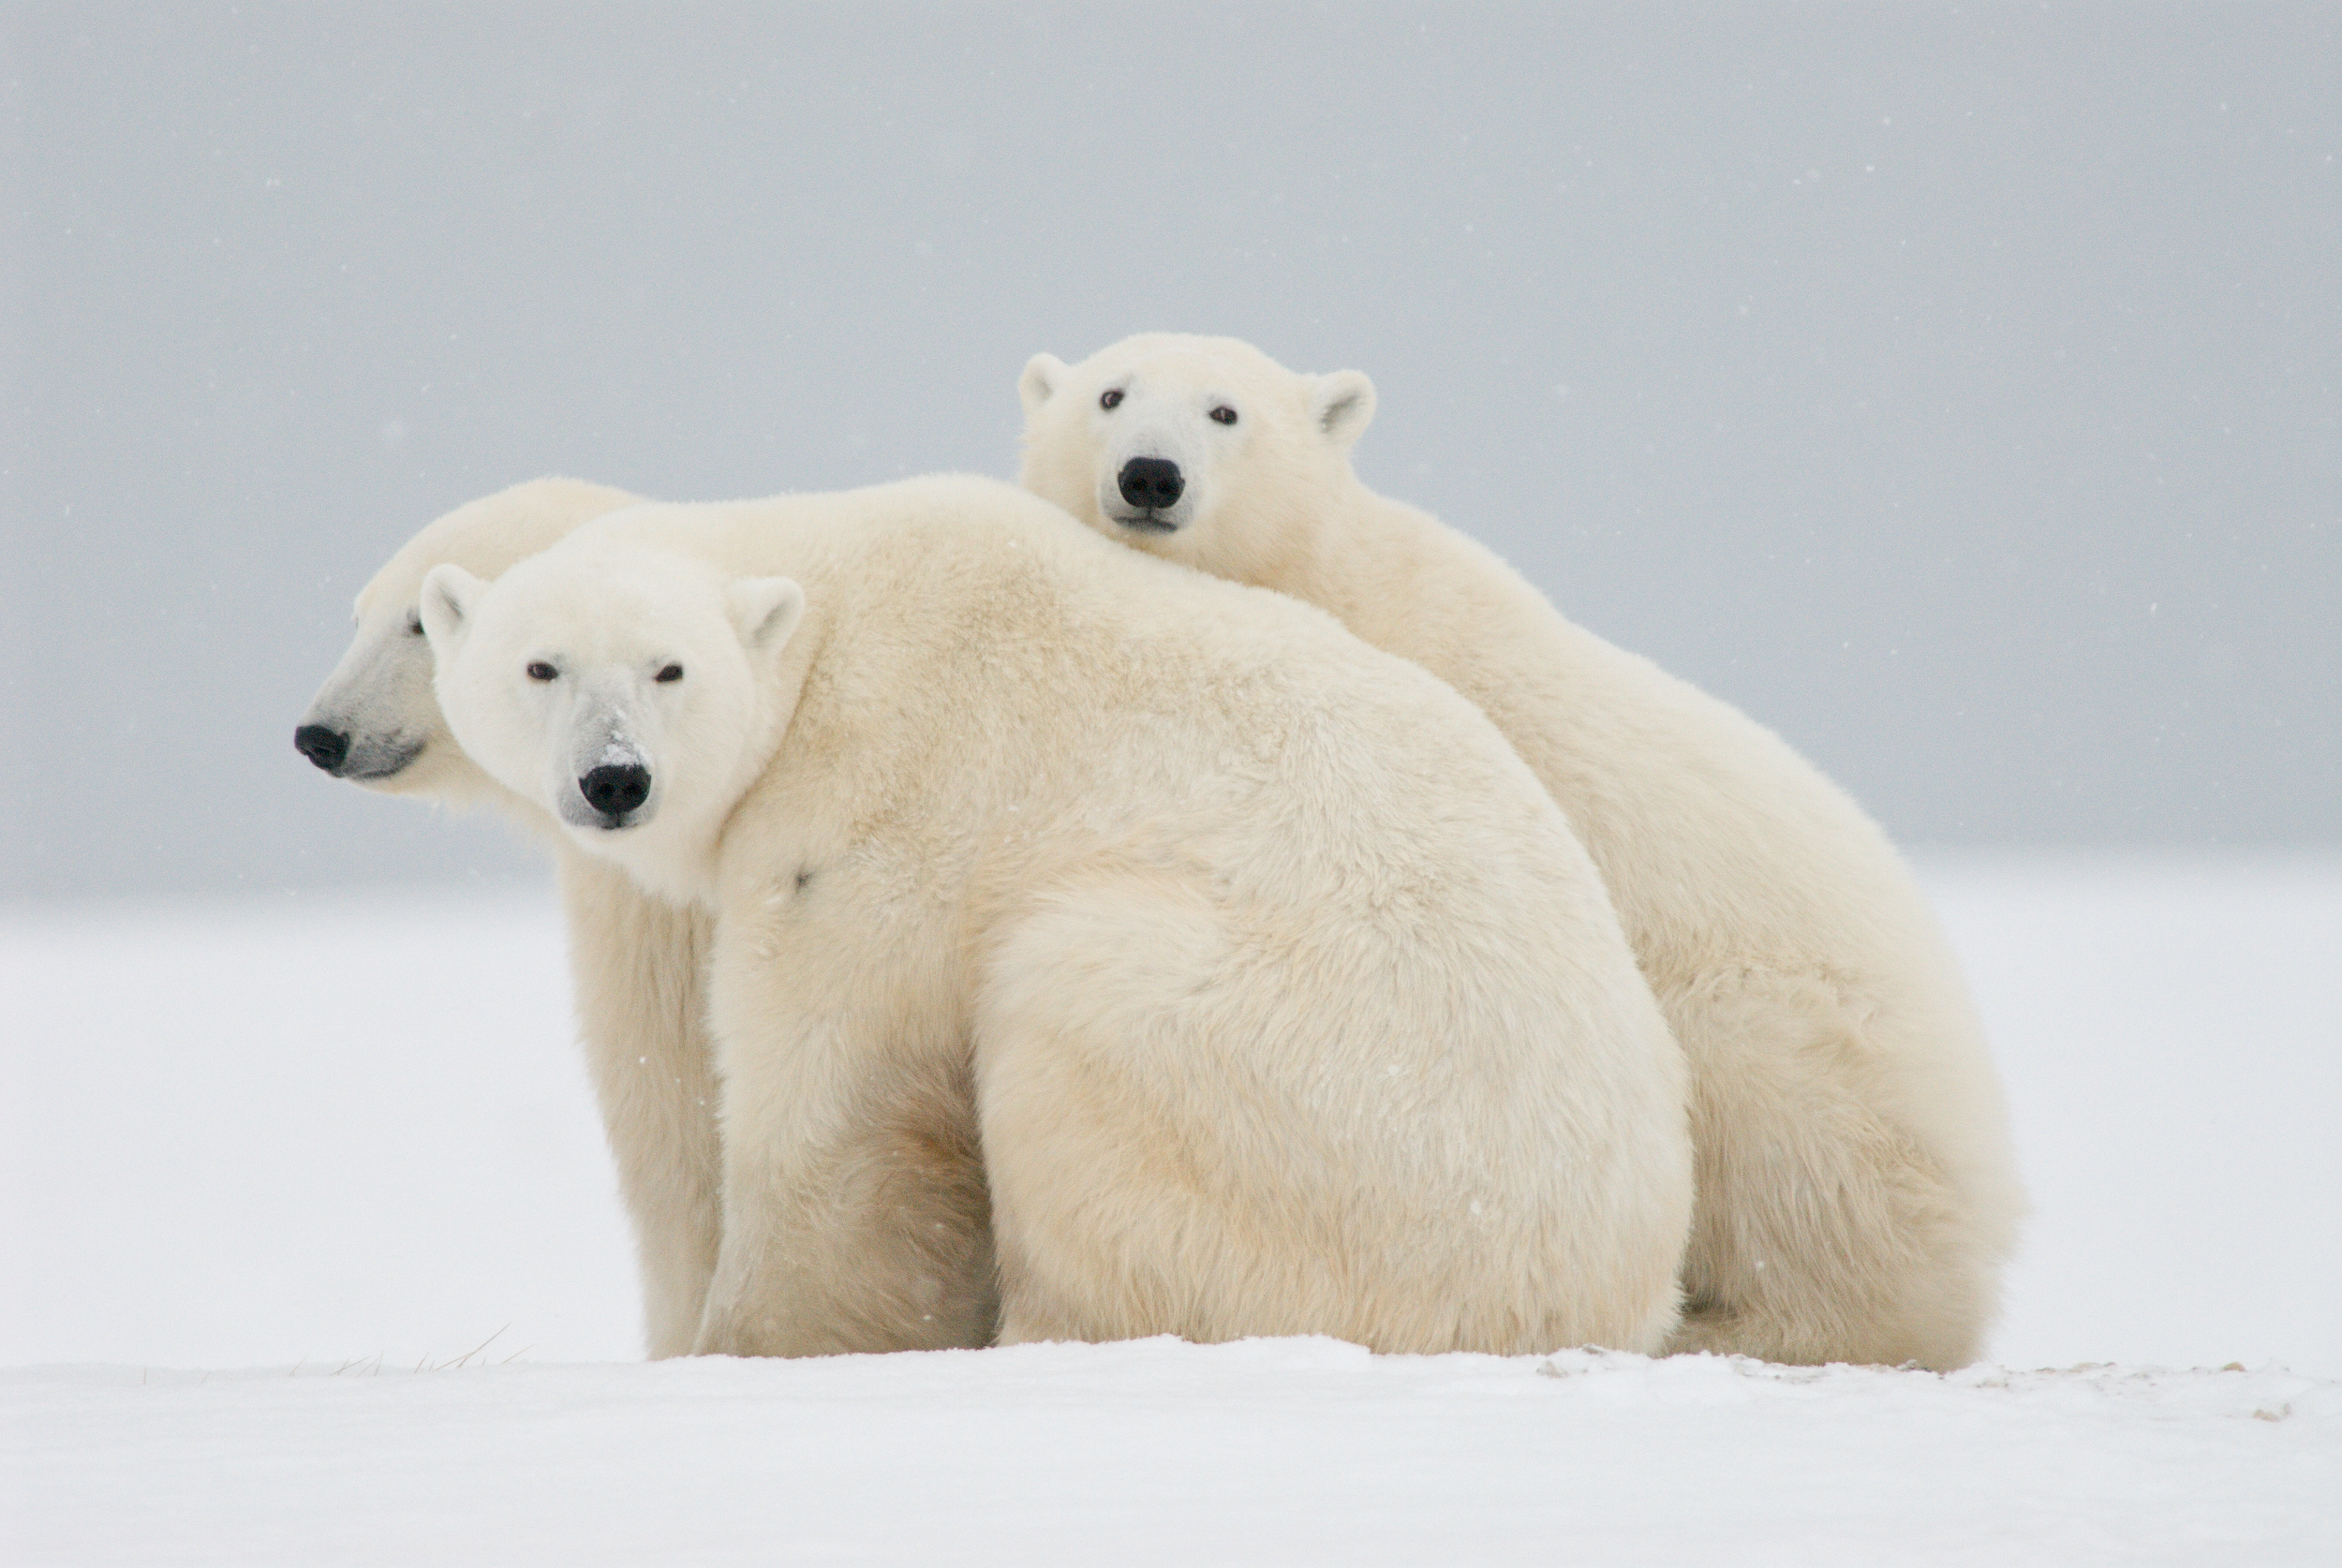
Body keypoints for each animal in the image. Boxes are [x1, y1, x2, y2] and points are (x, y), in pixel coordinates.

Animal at [419, 473, 1698, 1359]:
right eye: (540, 667)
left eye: (668, 669)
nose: (614, 779)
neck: (834, 602)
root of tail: (1593, 1295)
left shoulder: (874, 808)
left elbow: (839, 1097)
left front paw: (759, 1341)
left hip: (1317, 1100)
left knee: (1077, 1029)